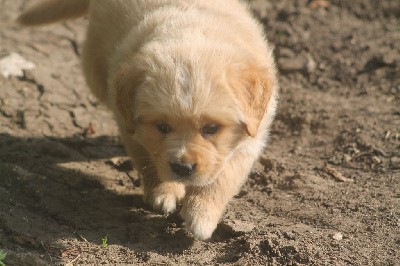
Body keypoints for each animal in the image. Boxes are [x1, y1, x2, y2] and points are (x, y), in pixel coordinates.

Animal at [19, 0, 278, 240]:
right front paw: (164, 192)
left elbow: (221, 180)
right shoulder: (132, 129)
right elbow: (149, 162)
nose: (182, 168)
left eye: (211, 128)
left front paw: (202, 215)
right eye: (162, 127)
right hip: (96, 73)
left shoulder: (250, 139)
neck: (193, 33)